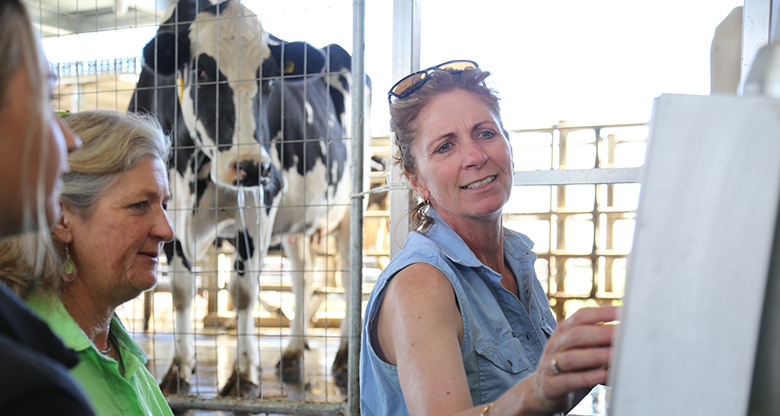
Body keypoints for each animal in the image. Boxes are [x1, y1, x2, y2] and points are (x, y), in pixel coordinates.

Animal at [129, 0, 368, 396]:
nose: (251, 166)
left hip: (349, 209)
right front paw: (179, 369)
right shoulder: (170, 206)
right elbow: (181, 289)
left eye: (269, 79)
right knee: (304, 276)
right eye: (203, 71)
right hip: (298, 225)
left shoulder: (263, 197)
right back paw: (292, 352)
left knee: (349, 277)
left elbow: (242, 290)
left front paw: (243, 374)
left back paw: (345, 356)